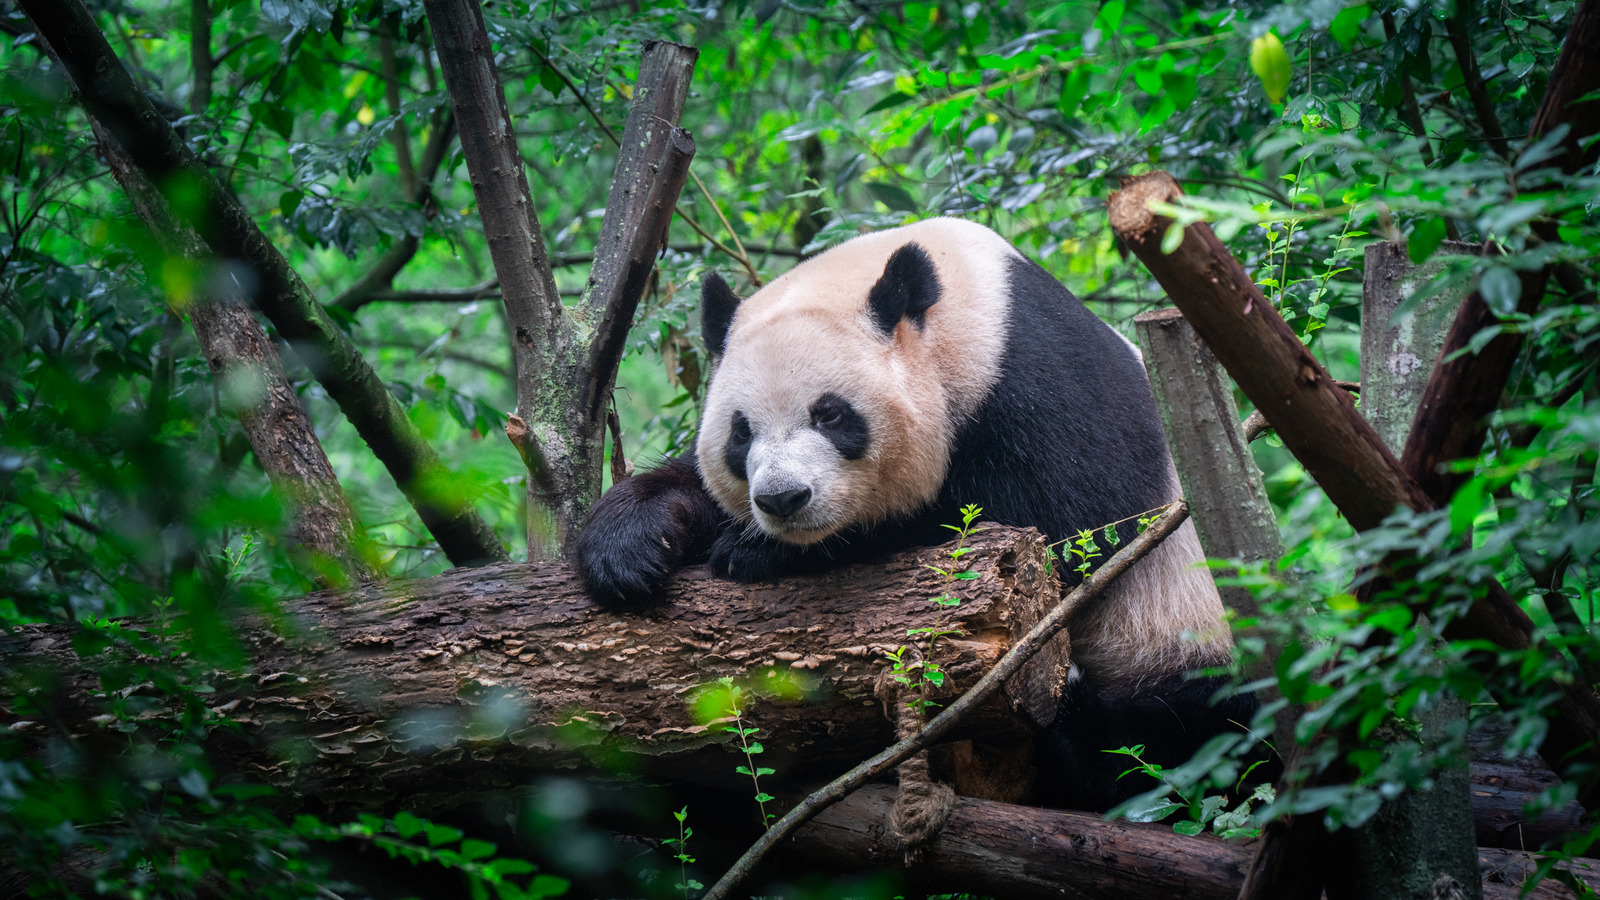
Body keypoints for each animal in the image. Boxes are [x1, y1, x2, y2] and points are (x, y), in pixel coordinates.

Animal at [574, 218, 1259, 812]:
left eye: (830, 414)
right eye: (741, 433)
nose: (782, 500)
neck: (960, 317)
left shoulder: (1043, 380)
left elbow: (1062, 528)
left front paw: (760, 552)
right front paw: (629, 545)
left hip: (1178, 636)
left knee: (1185, 737)